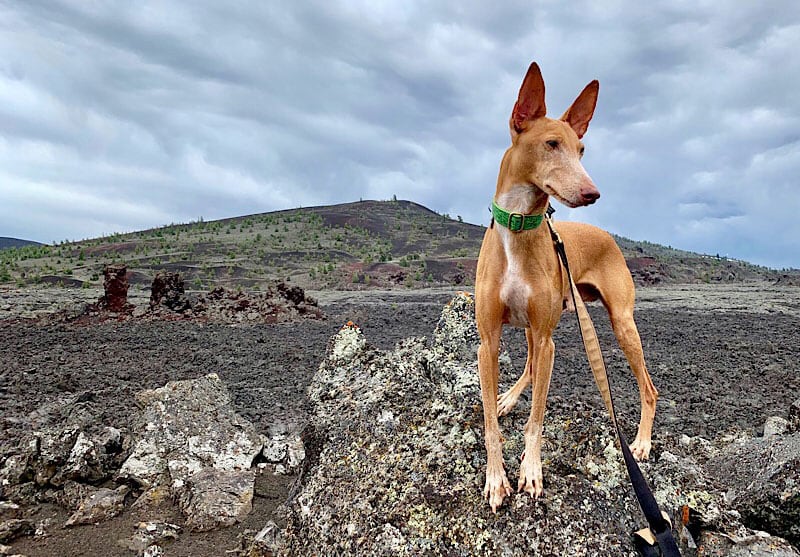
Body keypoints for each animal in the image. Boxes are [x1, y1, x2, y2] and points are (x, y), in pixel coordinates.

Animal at [476, 63, 656, 510]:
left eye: (582, 150)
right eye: (551, 144)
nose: (593, 193)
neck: (519, 227)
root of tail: (606, 235)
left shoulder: (547, 339)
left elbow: (536, 419)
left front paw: (531, 471)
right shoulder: (488, 341)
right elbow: (489, 422)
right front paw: (496, 477)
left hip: (620, 324)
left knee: (649, 388)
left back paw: (643, 443)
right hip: (529, 327)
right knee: (527, 366)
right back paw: (509, 397)